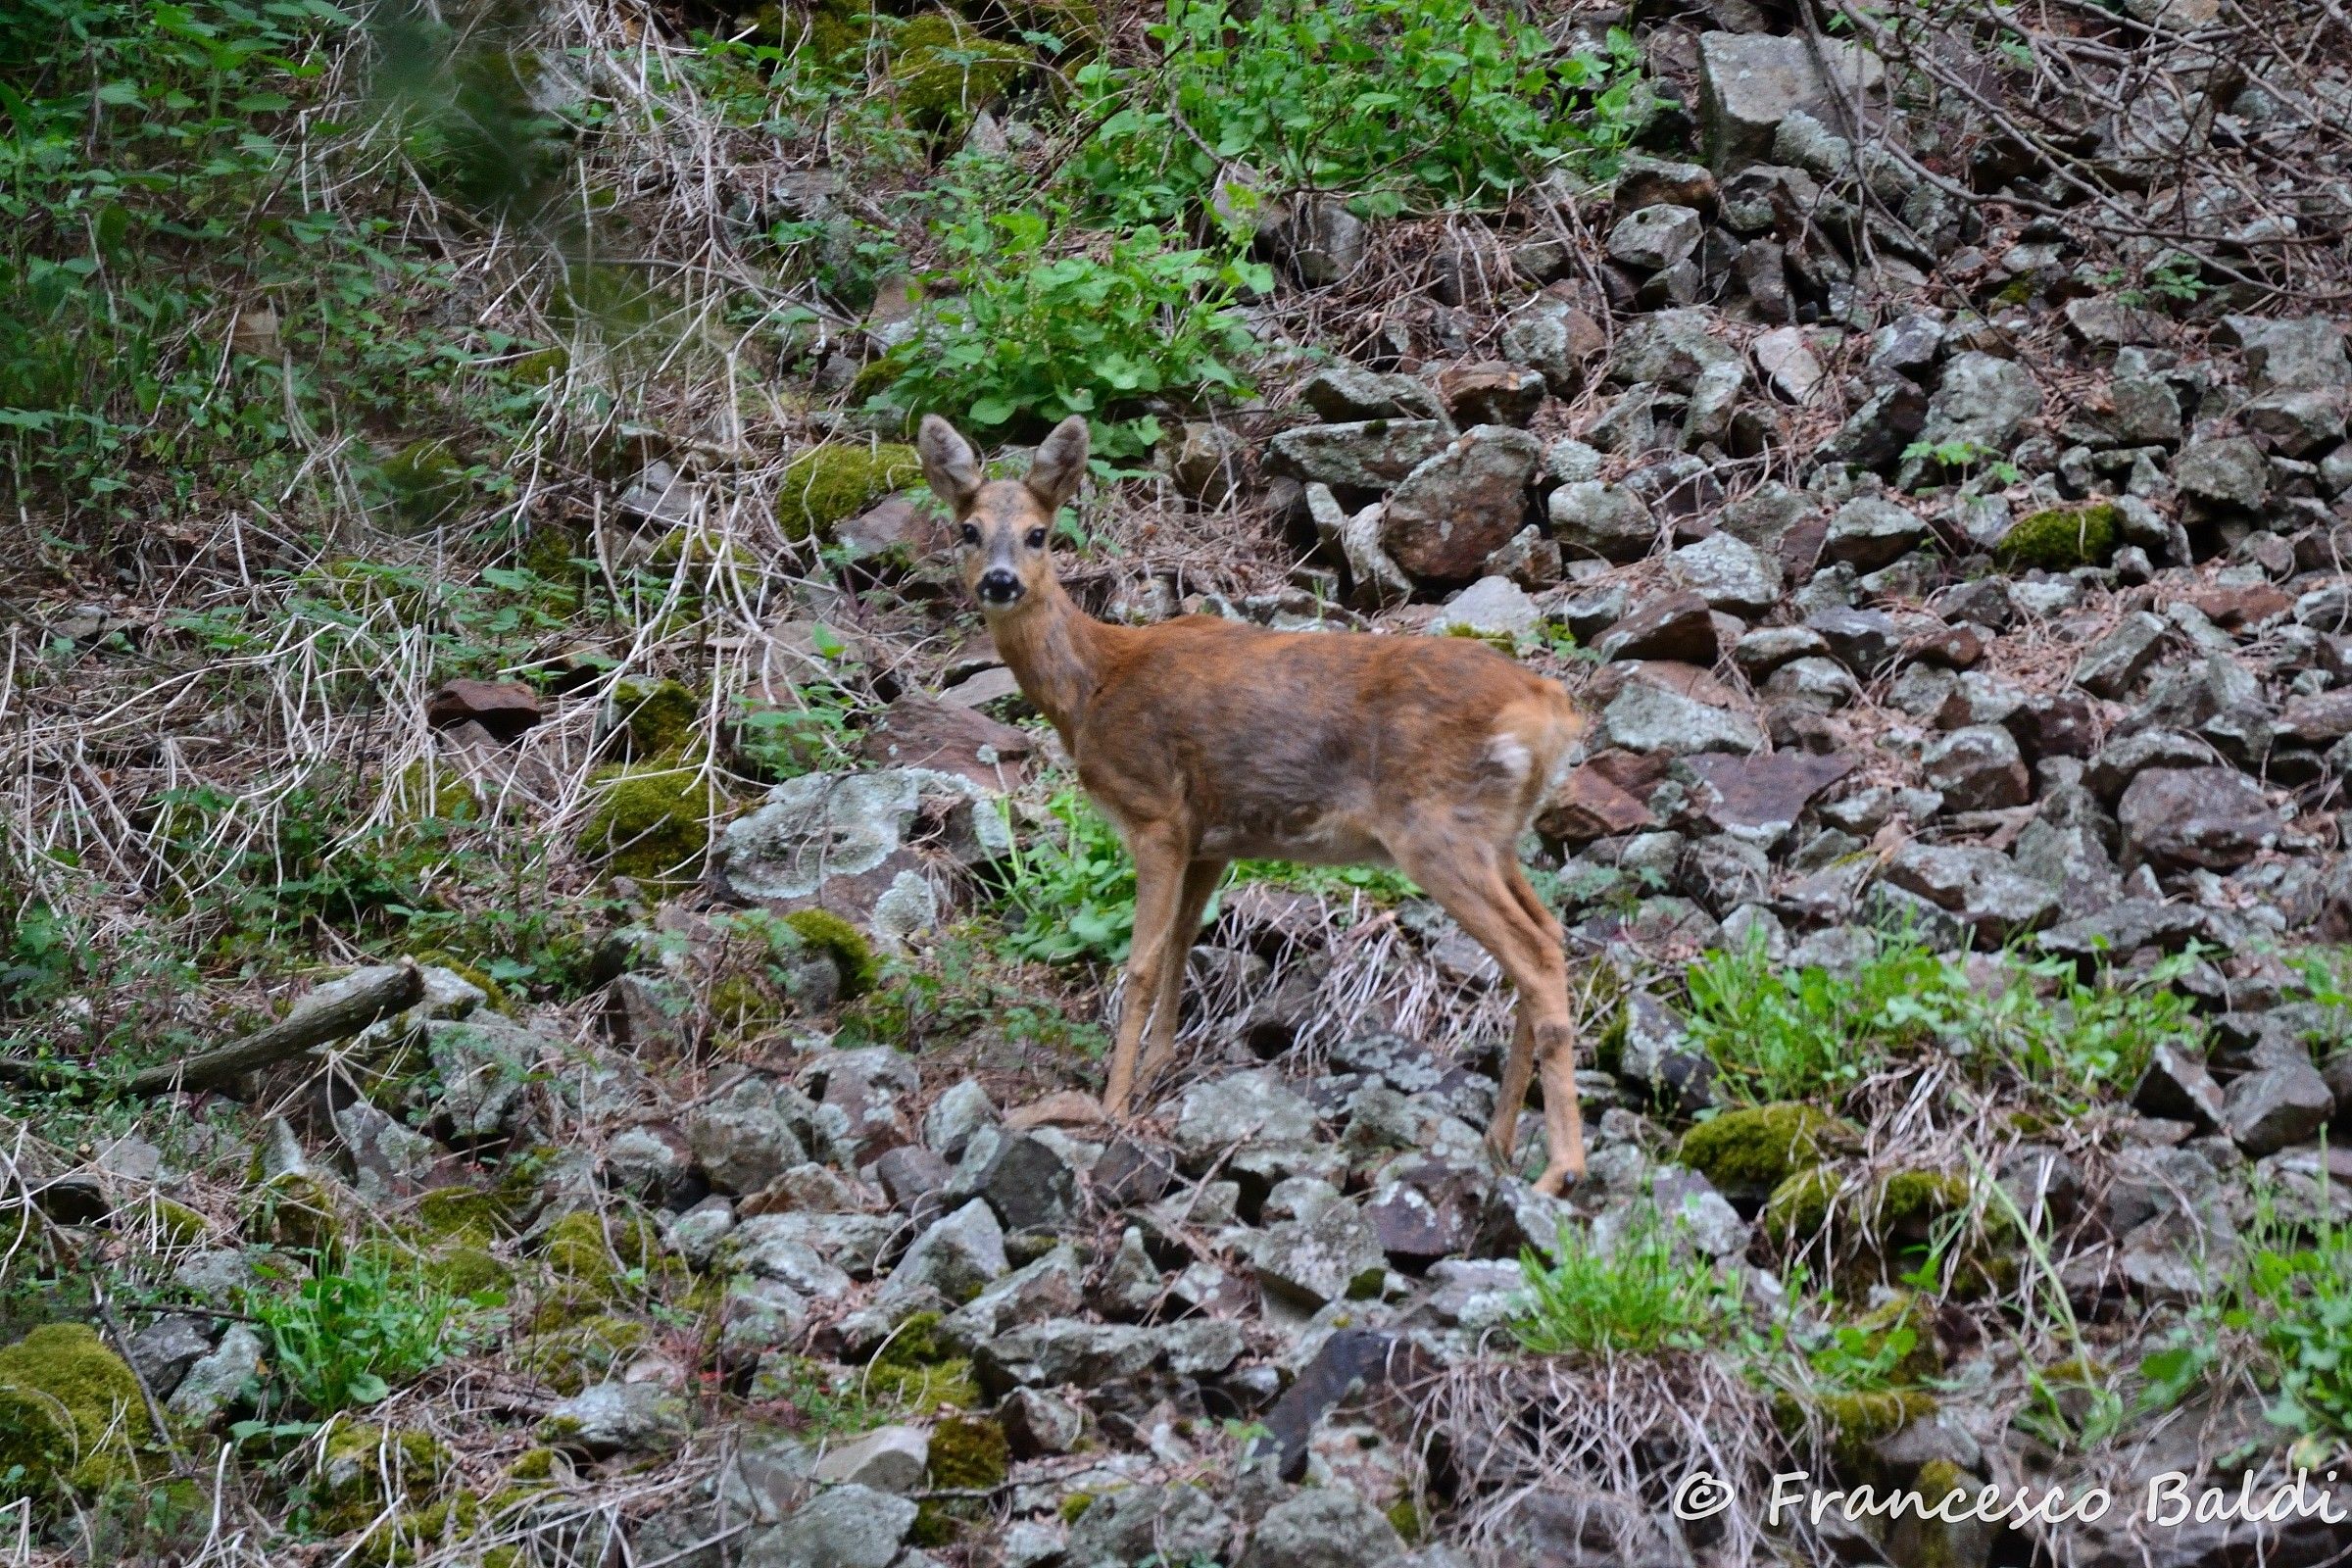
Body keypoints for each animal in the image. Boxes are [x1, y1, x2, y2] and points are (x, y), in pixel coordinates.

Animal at [917, 412, 1591, 1194]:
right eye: (967, 529)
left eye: (1038, 534)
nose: (999, 581)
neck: (1091, 688)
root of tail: (1551, 712)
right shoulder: (1209, 836)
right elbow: (1181, 947)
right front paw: (1157, 1069)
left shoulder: (1154, 812)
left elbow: (1140, 965)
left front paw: (1113, 1103)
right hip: (1497, 838)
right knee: (1549, 938)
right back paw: (1501, 1141)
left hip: (1437, 830)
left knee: (1534, 957)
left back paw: (1560, 1169)